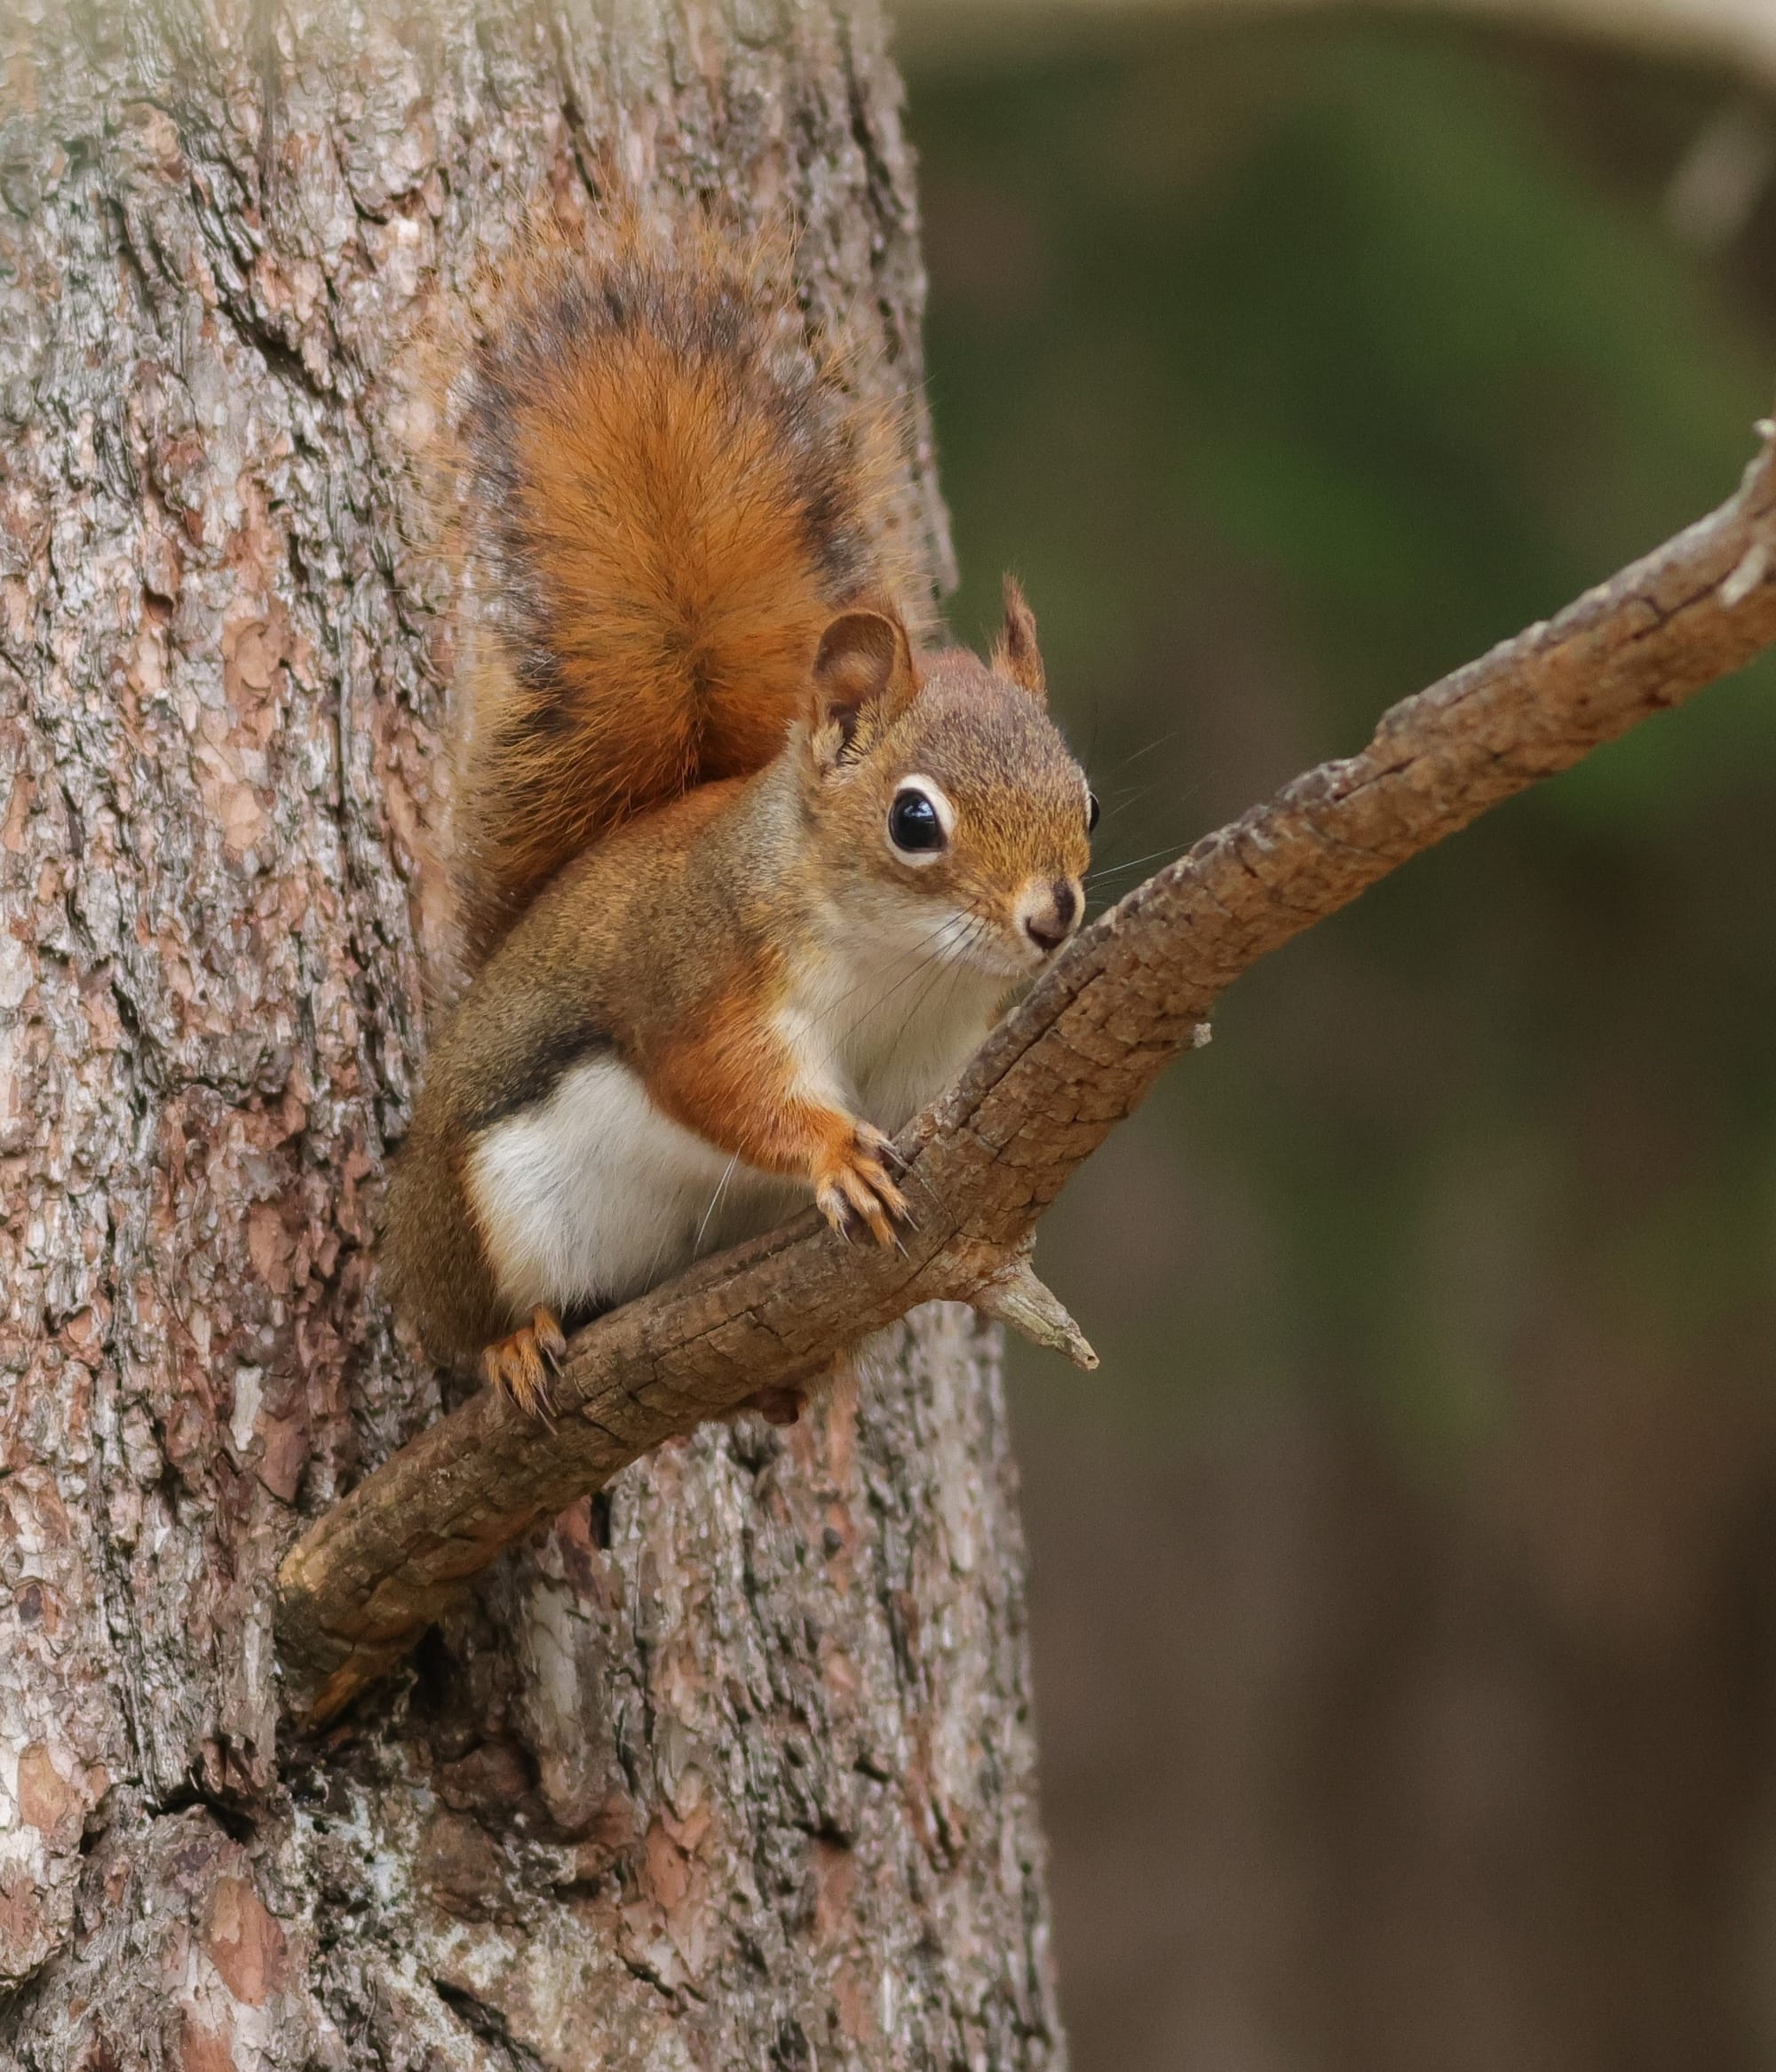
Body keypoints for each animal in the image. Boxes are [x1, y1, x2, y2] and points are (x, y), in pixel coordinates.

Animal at [382, 213, 1096, 1419]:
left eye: (1083, 794)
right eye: (913, 821)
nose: (1052, 914)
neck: (904, 967)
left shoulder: (929, 1063)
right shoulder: (700, 971)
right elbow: (715, 1079)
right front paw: (830, 1153)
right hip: (474, 1216)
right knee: (464, 1317)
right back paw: (511, 1343)